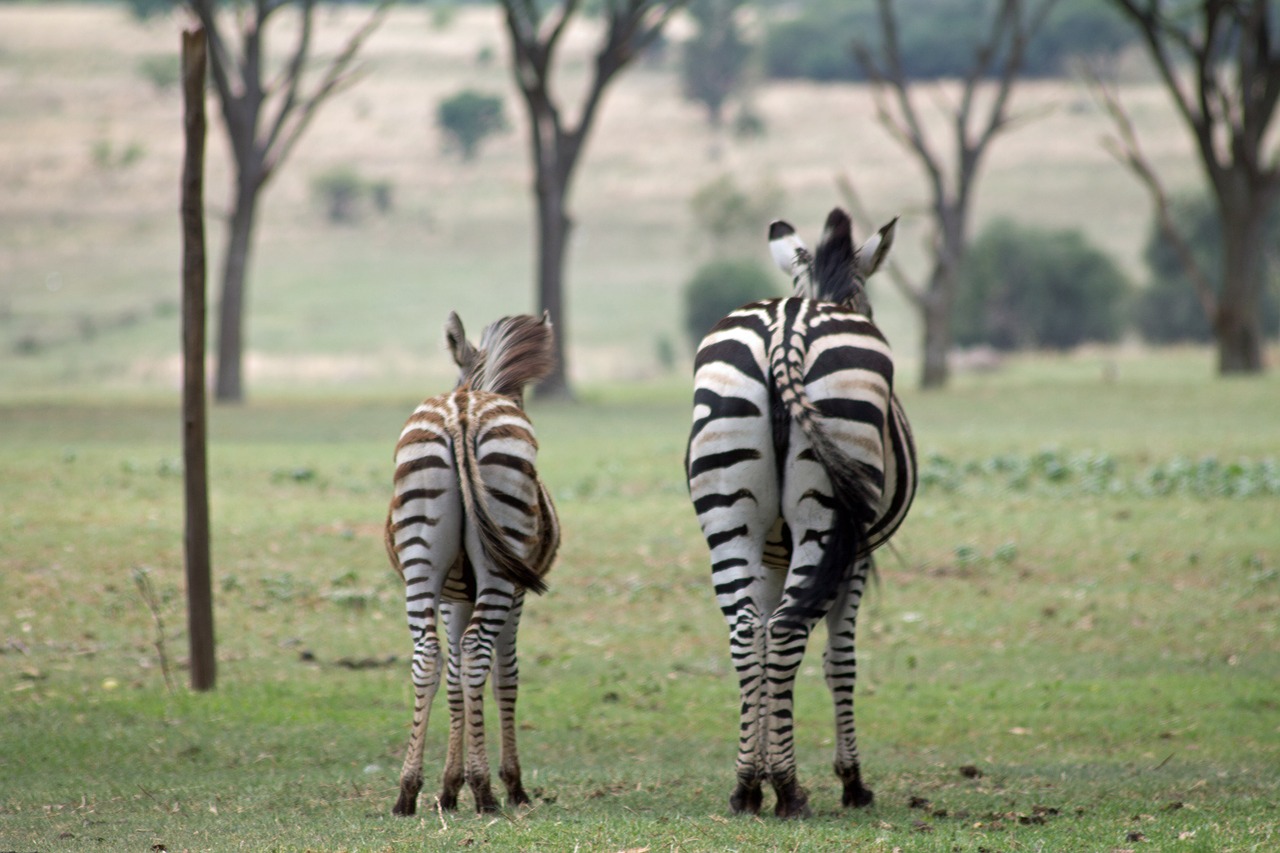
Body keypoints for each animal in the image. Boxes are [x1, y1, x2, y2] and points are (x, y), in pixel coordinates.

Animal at [381, 308, 558, 814]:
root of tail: (461, 410)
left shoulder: (450, 596)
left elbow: (455, 675)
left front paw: (446, 787)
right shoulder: (516, 594)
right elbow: (504, 674)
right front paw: (508, 783)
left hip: (421, 561)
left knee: (427, 655)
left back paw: (407, 790)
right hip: (500, 571)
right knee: (479, 649)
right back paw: (485, 791)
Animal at [686, 207, 916, 819]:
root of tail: (786, 329)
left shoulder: (770, 552)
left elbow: (765, 642)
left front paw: (763, 768)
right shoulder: (855, 554)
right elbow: (840, 659)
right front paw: (851, 780)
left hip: (728, 508)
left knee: (748, 629)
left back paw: (747, 785)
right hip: (827, 514)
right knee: (788, 629)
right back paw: (790, 790)